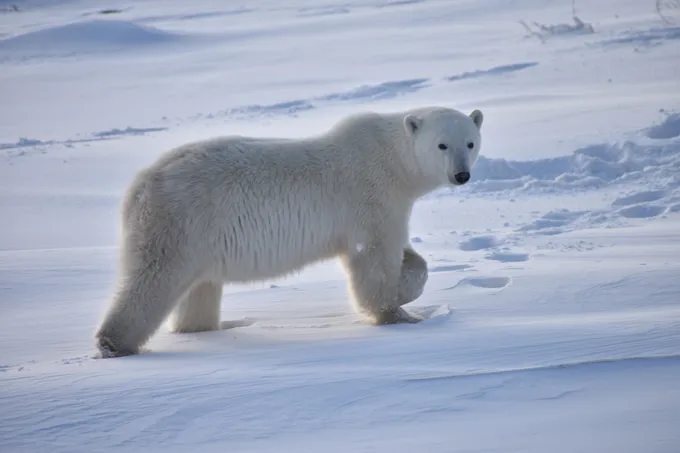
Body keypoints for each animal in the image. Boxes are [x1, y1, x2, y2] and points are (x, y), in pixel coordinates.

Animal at [94, 105, 484, 358]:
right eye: (442, 145)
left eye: (470, 142)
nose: (461, 175)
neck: (391, 159)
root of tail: (140, 186)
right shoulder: (371, 197)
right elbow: (373, 258)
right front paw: (398, 313)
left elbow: (408, 256)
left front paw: (407, 290)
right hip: (181, 221)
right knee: (153, 279)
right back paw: (112, 343)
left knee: (199, 288)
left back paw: (204, 328)